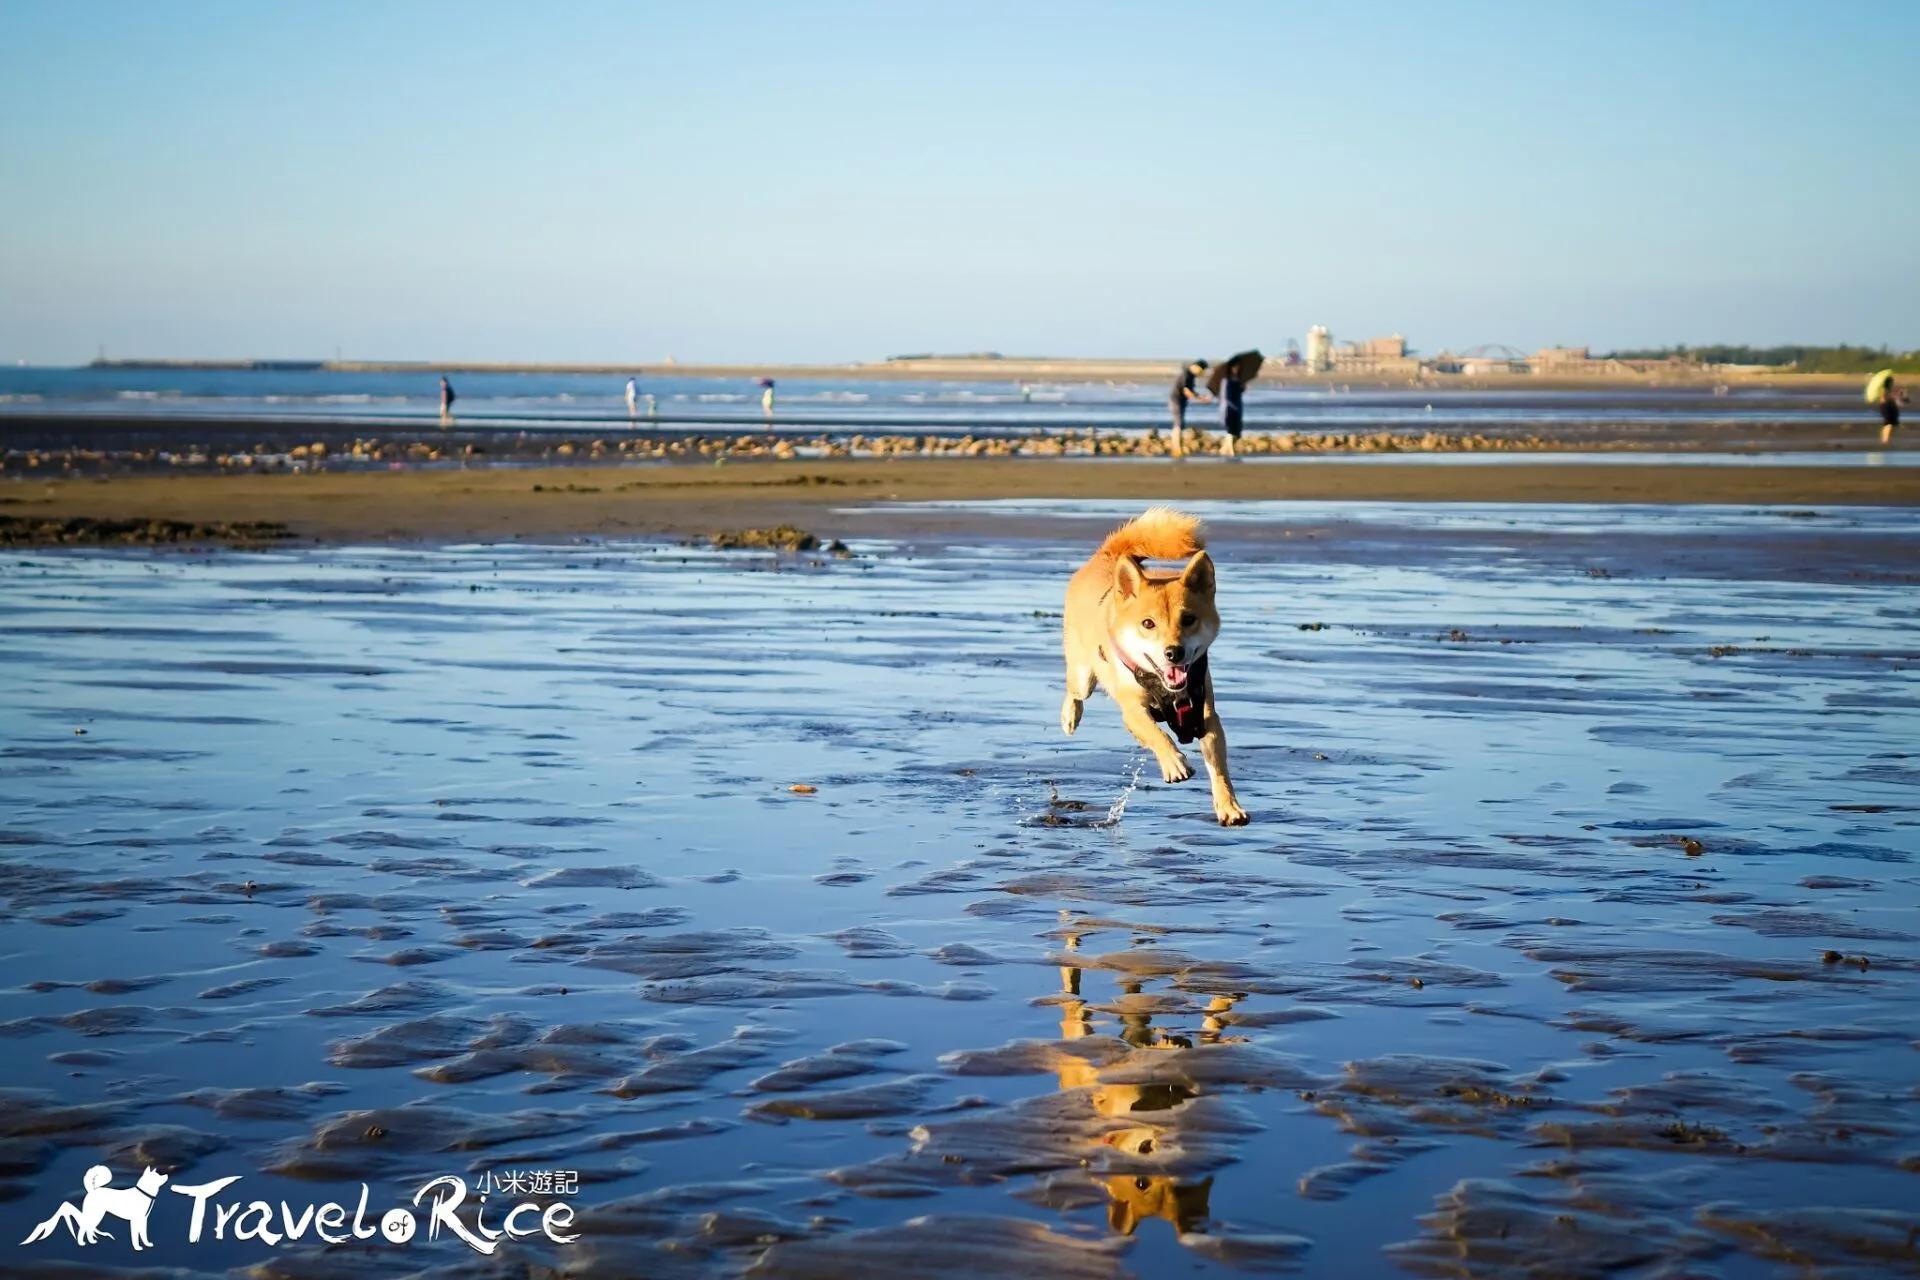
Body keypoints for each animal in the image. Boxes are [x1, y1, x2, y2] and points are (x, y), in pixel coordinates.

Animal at [1067, 506, 1244, 825]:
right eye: (1148, 624)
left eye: (1189, 619)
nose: (1174, 652)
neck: (1166, 687)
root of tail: (1107, 557)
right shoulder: (1132, 710)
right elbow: (1156, 733)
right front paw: (1174, 763)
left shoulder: (1206, 714)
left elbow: (1219, 766)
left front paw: (1229, 806)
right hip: (1083, 674)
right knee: (1075, 691)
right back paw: (1069, 716)